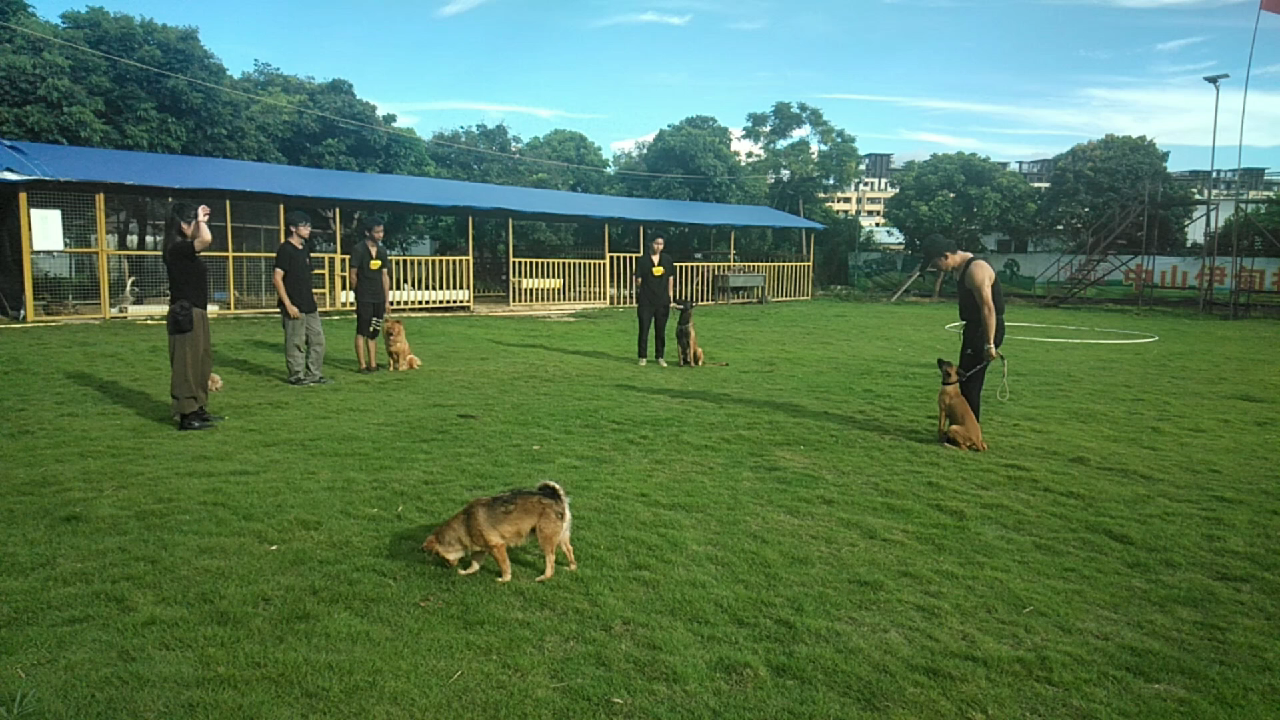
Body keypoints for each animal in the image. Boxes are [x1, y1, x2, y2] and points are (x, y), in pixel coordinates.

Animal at [422, 479, 578, 579]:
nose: (448, 568)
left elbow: (504, 565)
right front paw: (466, 572)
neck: (465, 524)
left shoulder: (497, 547)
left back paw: (544, 577)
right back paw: (571, 567)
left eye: (439, 556)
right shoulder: (481, 550)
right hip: (561, 537)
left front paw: (504, 579)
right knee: (569, 550)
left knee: (551, 559)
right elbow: (475, 564)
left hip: (545, 537)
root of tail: (555, 496)